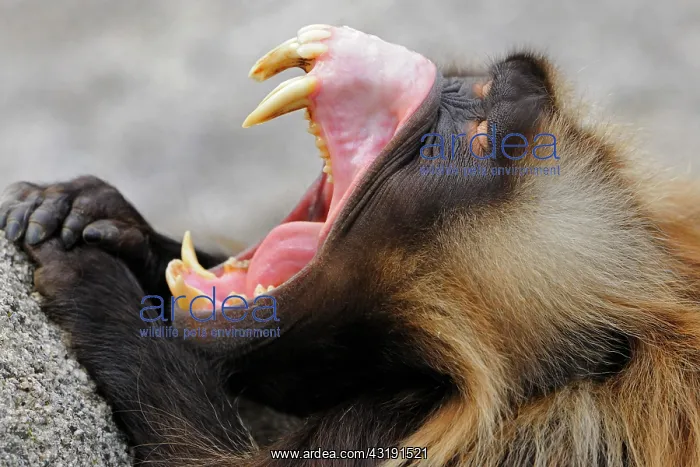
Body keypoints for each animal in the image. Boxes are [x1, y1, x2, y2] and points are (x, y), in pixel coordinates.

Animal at [2, 23, 700, 466]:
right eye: (477, 89)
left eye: (480, 136)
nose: (509, 75)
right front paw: (96, 212)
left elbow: (210, 458)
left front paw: (97, 284)